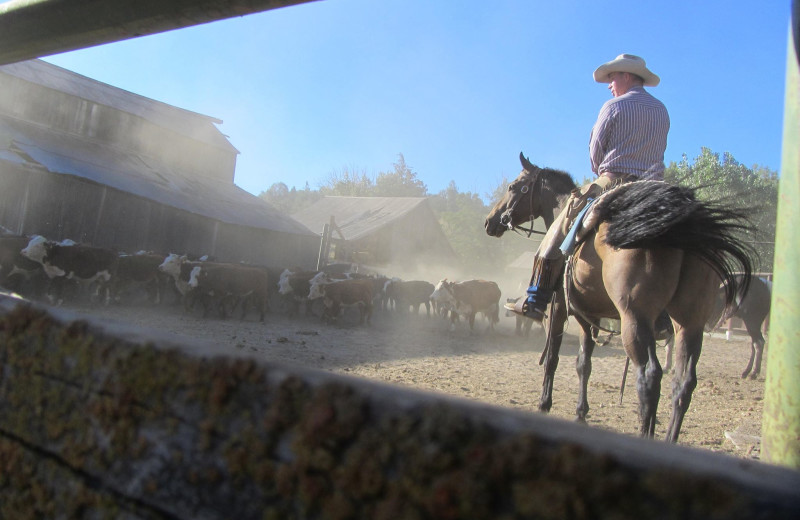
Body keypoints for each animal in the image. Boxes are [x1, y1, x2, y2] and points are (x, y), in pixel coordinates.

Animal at [484, 152, 752, 440]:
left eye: (513, 187)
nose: (490, 221)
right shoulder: (588, 316)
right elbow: (583, 363)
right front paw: (581, 413)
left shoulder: (559, 310)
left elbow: (553, 359)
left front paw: (544, 405)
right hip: (689, 323)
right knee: (683, 383)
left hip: (635, 320)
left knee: (649, 376)